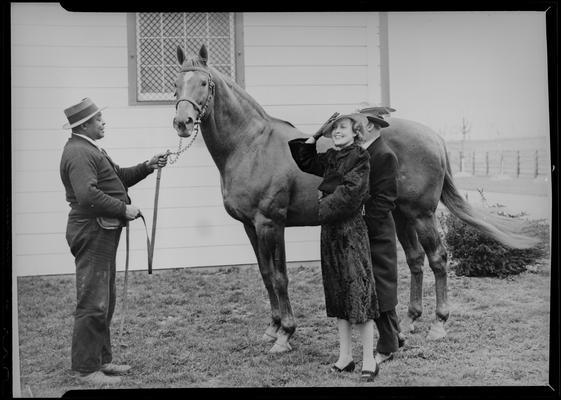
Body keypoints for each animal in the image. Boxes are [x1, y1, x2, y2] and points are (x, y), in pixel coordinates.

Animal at [172, 44, 540, 354]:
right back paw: (409, 322)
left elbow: (279, 277)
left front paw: (285, 334)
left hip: (421, 214)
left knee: (438, 259)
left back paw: (438, 325)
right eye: (176, 85)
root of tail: (434, 137)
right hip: (401, 215)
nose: (182, 122)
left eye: (204, 83)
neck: (251, 146)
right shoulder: (251, 227)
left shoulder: (270, 224)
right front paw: (272, 328)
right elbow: (265, 275)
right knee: (415, 260)